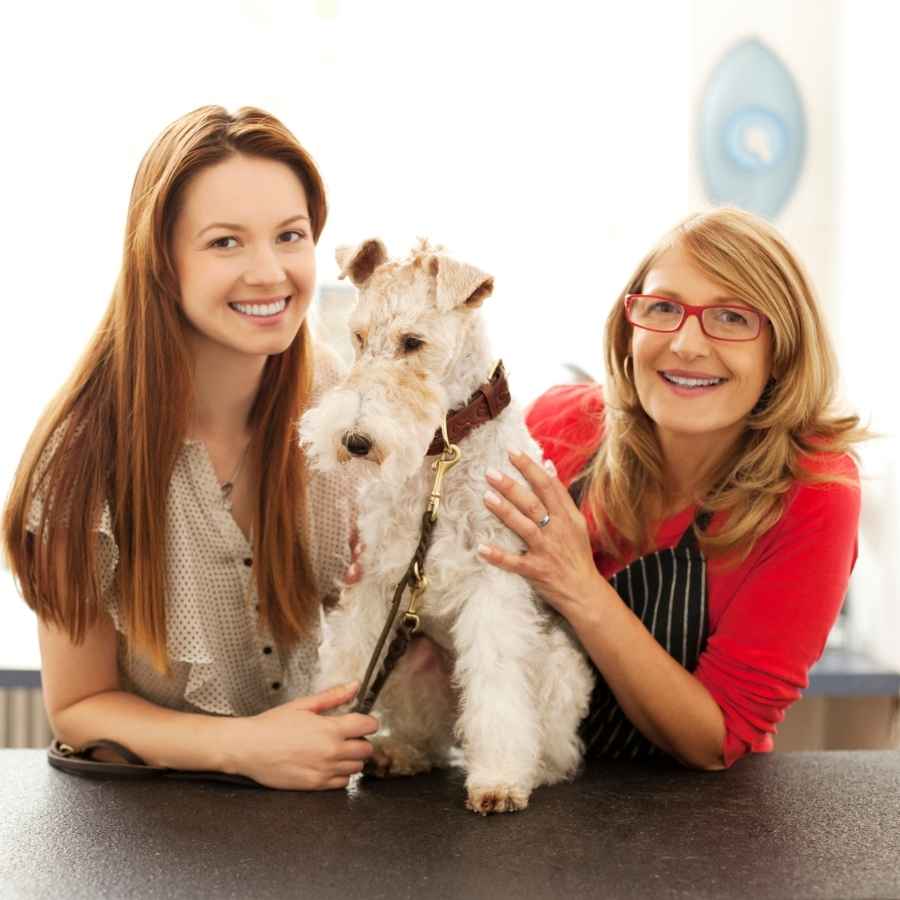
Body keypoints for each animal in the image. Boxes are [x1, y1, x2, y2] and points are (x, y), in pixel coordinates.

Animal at [300, 241, 596, 816]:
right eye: (358, 336)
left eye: (413, 342)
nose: (355, 440)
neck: (444, 452)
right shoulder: (376, 580)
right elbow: (348, 661)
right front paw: (321, 735)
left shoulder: (494, 583)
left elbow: (497, 688)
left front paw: (498, 781)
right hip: (414, 661)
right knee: (429, 736)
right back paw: (396, 753)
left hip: (557, 666)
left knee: (559, 748)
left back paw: (534, 770)